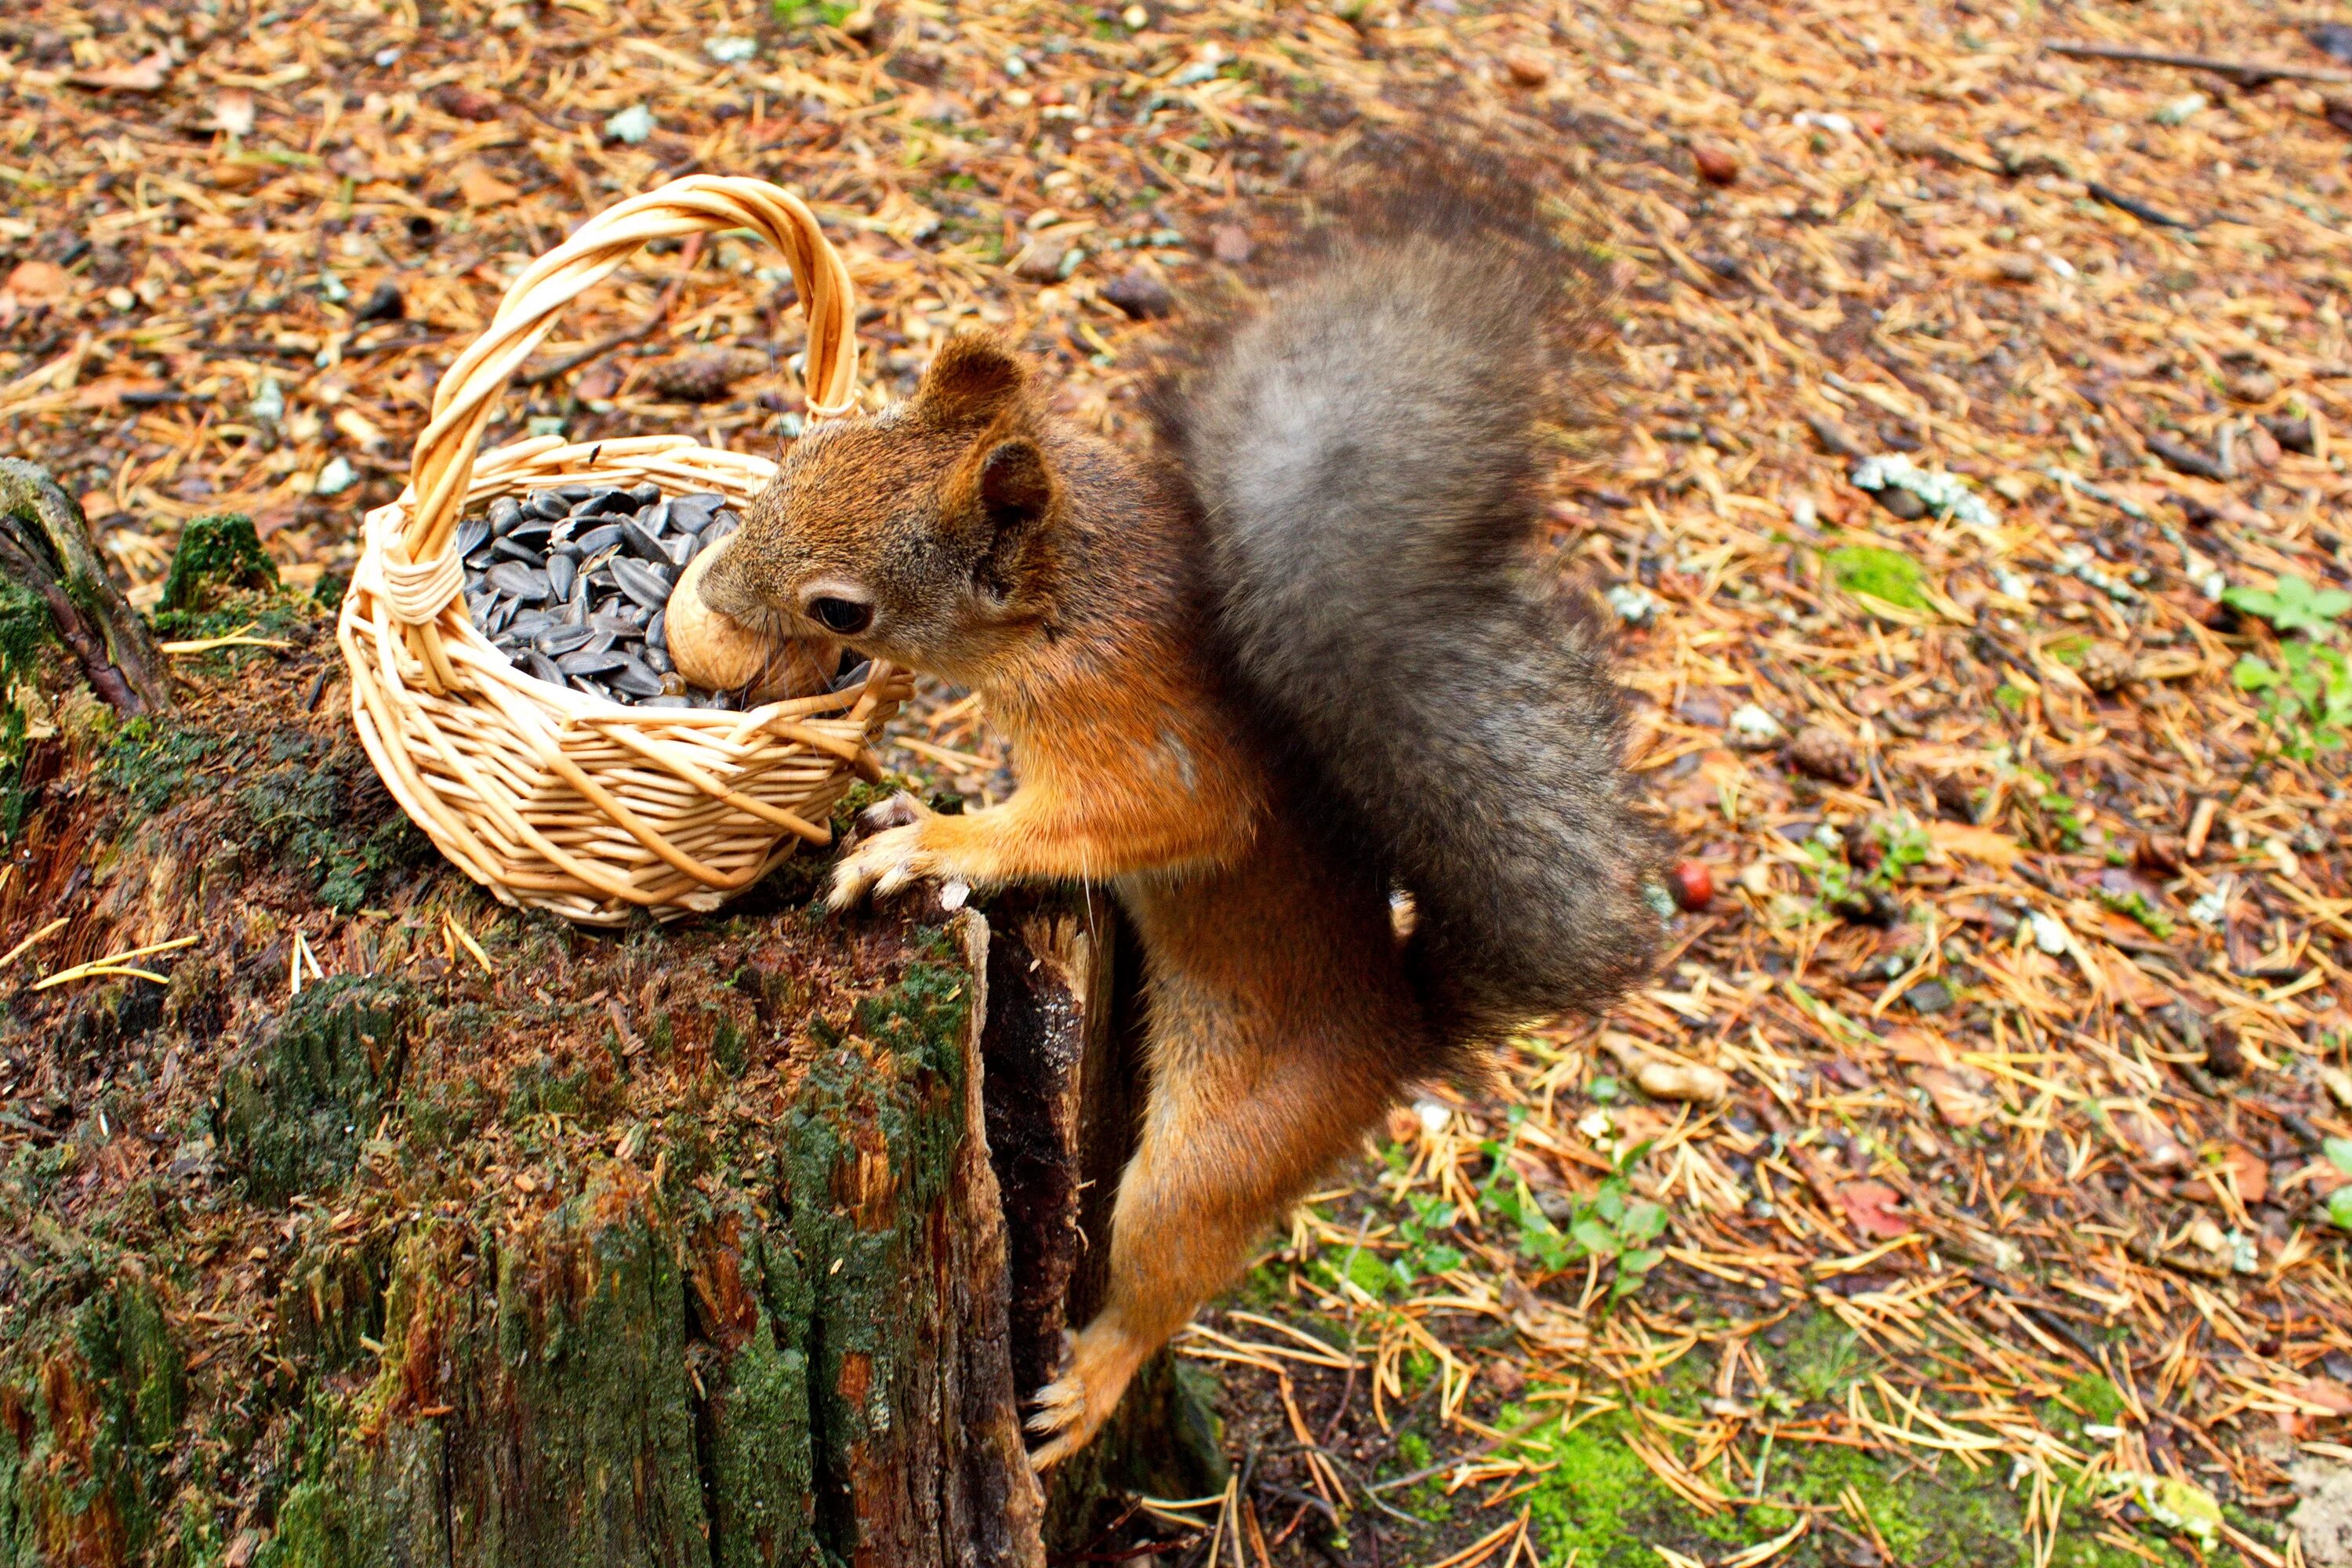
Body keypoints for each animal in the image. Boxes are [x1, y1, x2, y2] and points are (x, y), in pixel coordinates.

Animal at [706, 152, 1665, 1467]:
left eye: (841, 607)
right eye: (800, 460)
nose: (711, 593)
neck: (1064, 602)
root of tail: (1396, 1036)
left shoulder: (1145, 743)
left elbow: (1134, 820)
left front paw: (929, 844)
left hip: (1220, 1152)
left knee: (1166, 1270)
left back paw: (1089, 1382)